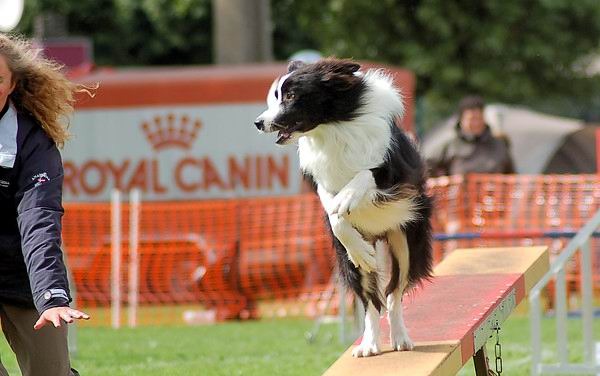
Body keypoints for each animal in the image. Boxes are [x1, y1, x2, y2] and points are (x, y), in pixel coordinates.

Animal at [253, 58, 432, 356]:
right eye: (276, 96)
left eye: (291, 96)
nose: (258, 123)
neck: (333, 128)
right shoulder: (320, 181)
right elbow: (334, 215)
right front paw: (353, 237)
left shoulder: (398, 174)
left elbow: (365, 173)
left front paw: (347, 198)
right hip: (352, 265)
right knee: (371, 301)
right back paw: (369, 344)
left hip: (406, 242)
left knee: (393, 293)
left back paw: (400, 338)